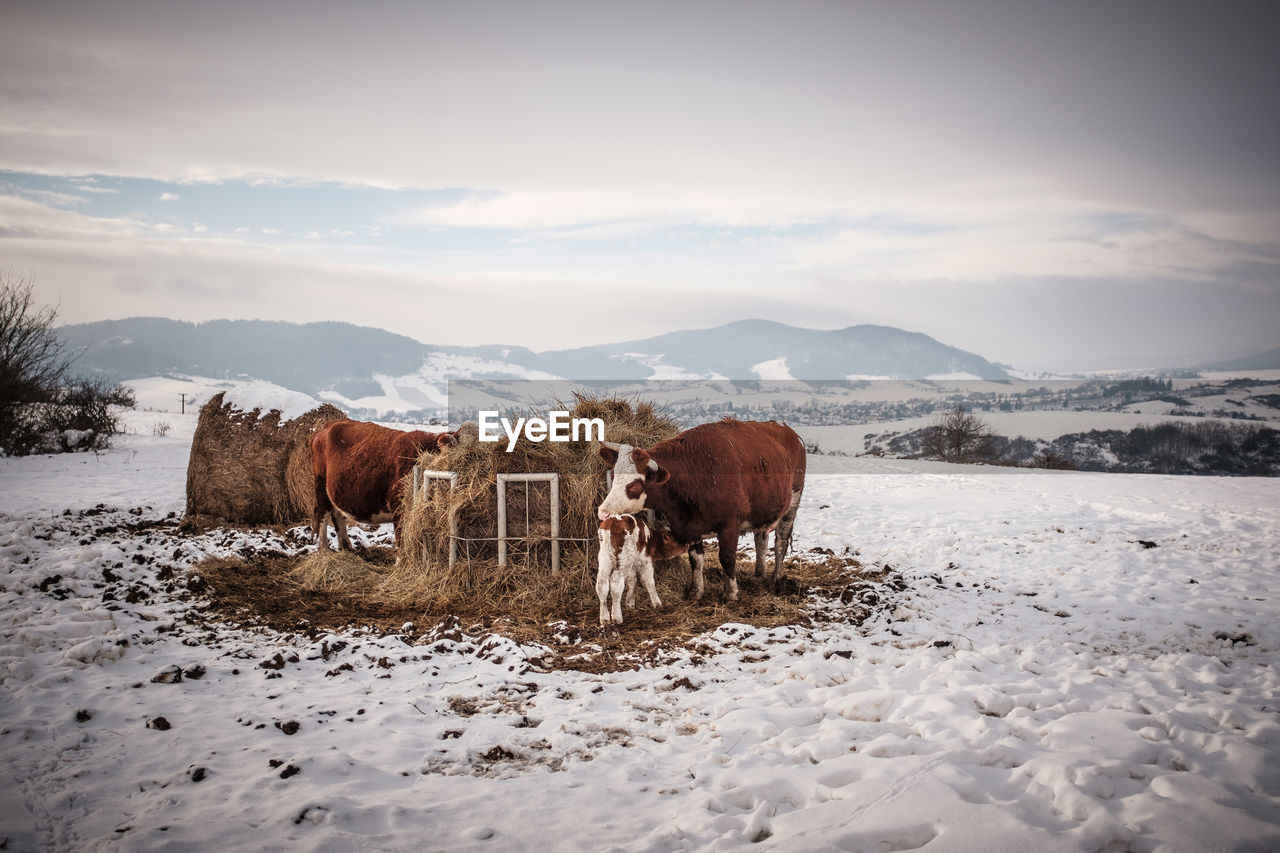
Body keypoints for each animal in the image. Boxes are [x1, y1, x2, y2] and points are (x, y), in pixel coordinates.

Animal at [312, 420, 458, 550]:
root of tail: (327, 425)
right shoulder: (400, 509)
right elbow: (401, 544)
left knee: (338, 515)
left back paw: (347, 548)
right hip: (321, 487)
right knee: (323, 516)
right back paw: (324, 550)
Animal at [596, 417, 798, 596]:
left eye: (634, 485)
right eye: (613, 475)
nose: (603, 512)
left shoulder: (730, 524)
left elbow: (727, 558)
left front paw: (730, 593)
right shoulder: (691, 525)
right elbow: (696, 560)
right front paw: (697, 591)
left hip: (792, 504)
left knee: (781, 542)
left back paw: (776, 578)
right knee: (761, 539)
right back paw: (759, 573)